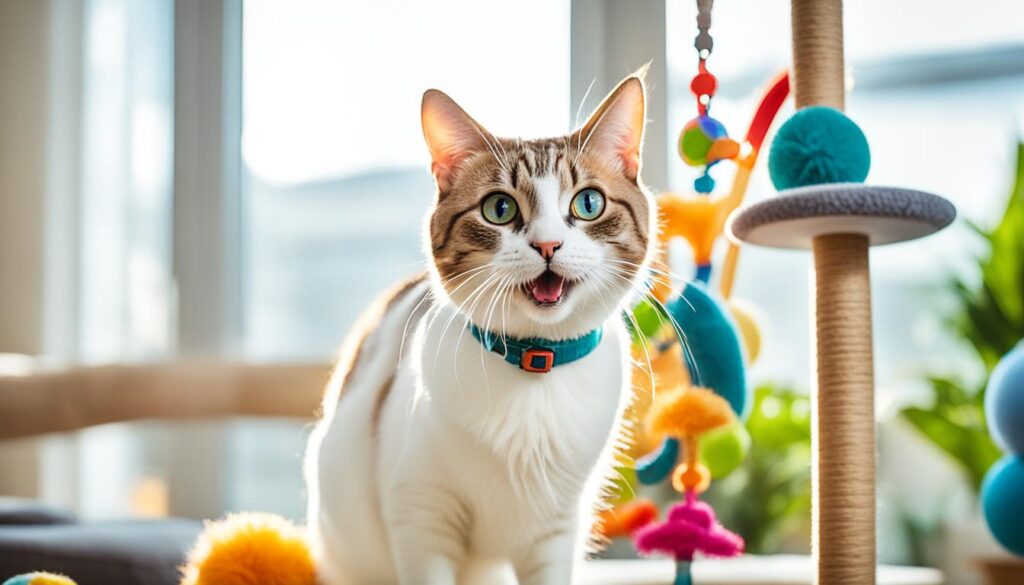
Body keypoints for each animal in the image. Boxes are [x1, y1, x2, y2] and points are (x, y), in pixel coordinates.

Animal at [303, 69, 655, 585]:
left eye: (588, 203)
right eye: (499, 209)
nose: (548, 244)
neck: (535, 365)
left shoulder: (556, 532)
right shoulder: (422, 513)